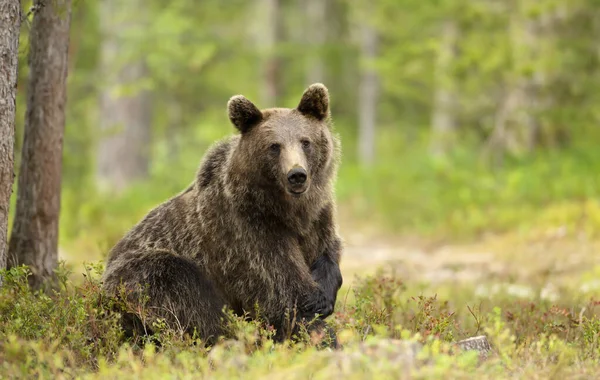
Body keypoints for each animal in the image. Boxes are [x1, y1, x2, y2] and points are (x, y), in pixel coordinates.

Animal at [102, 84, 342, 346]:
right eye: (274, 146)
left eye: (305, 141)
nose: (296, 174)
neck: (286, 209)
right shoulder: (249, 229)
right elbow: (281, 286)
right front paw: (319, 330)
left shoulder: (318, 215)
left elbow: (328, 249)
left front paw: (324, 296)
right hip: (139, 273)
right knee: (183, 292)